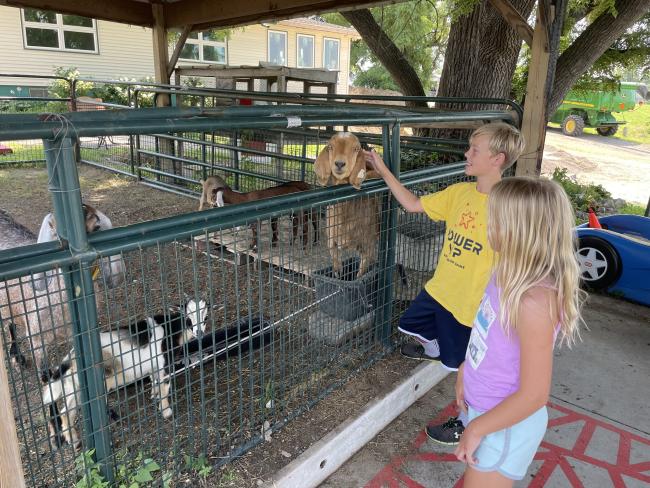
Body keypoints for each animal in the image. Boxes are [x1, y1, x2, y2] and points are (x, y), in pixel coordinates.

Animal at [42, 296, 205, 448]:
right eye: (188, 317)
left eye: (205, 316)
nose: (200, 333)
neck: (172, 329)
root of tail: (71, 357)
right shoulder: (165, 364)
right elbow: (165, 386)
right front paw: (166, 412)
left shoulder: (154, 366)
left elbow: (155, 381)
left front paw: (154, 394)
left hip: (75, 386)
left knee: (66, 412)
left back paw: (74, 441)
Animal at [312, 132, 378, 278]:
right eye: (330, 147)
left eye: (356, 149)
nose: (339, 163)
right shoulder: (331, 237)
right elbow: (335, 260)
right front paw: (338, 273)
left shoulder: (368, 244)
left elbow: (361, 272)